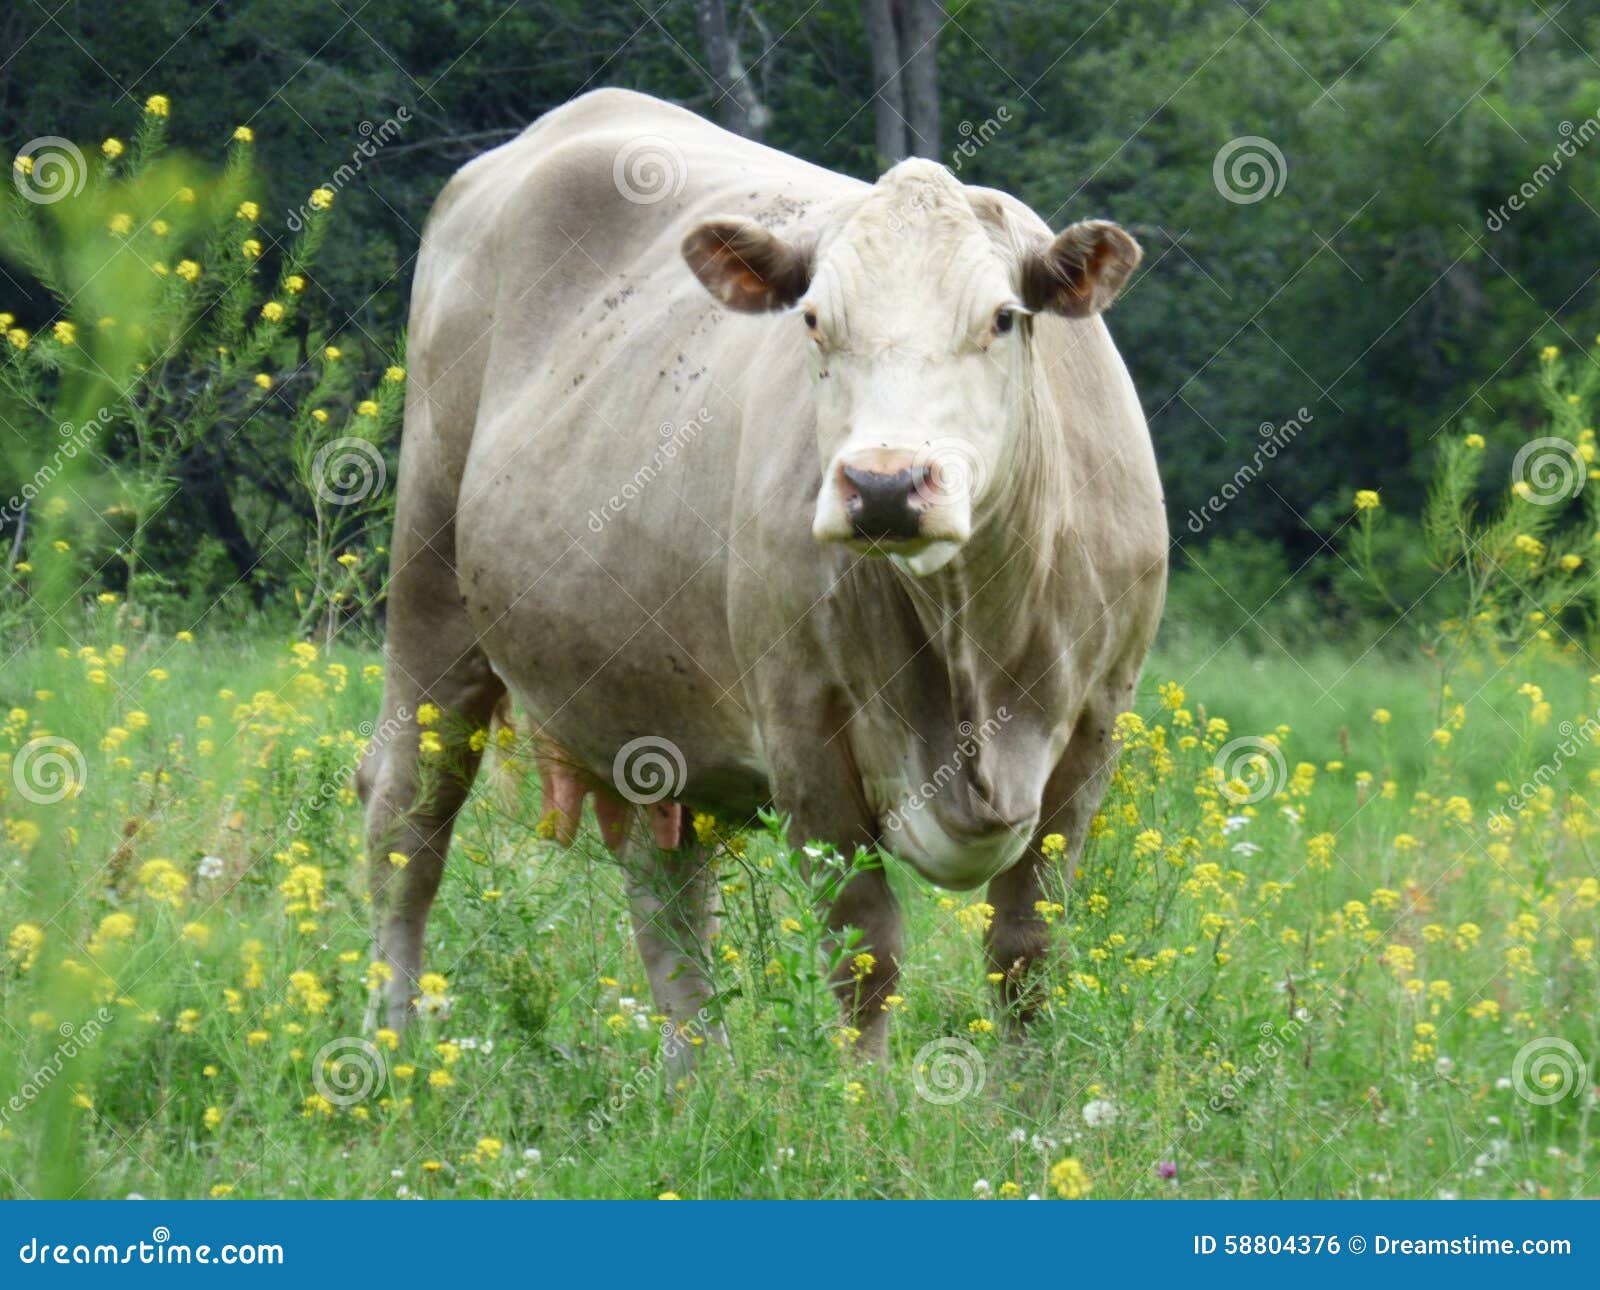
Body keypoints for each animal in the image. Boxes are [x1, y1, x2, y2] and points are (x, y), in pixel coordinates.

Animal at [358, 88, 1167, 1063]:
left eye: (1003, 318)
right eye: (815, 320)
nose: (885, 485)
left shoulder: (1093, 730)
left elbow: (1026, 955)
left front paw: (1027, 1099)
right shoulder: (804, 729)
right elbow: (867, 957)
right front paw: (867, 1101)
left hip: (650, 703)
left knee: (669, 906)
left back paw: (695, 1082)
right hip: (430, 586)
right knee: (406, 821)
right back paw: (392, 1050)